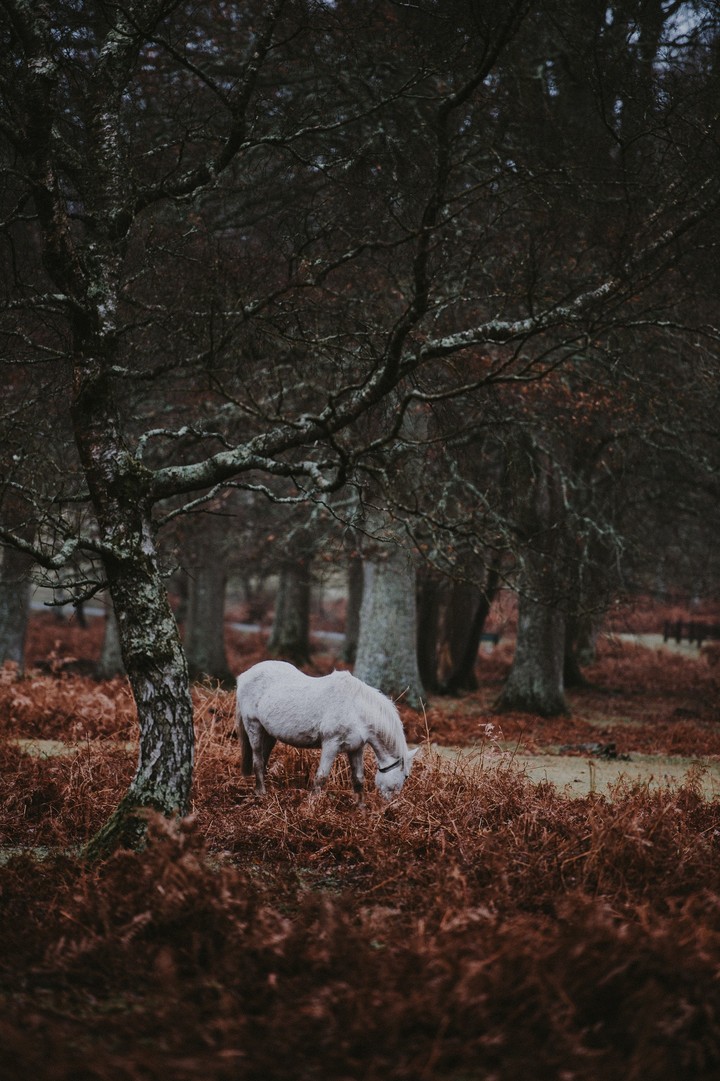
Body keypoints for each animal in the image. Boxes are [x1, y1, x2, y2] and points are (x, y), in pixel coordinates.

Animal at [235, 659, 418, 802]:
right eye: (406, 776)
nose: (391, 804)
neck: (356, 709)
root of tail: (244, 676)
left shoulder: (356, 748)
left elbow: (358, 779)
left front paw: (361, 810)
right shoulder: (331, 745)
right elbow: (321, 777)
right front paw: (310, 807)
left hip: (269, 733)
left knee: (263, 759)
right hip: (253, 726)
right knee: (258, 760)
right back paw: (261, 793)